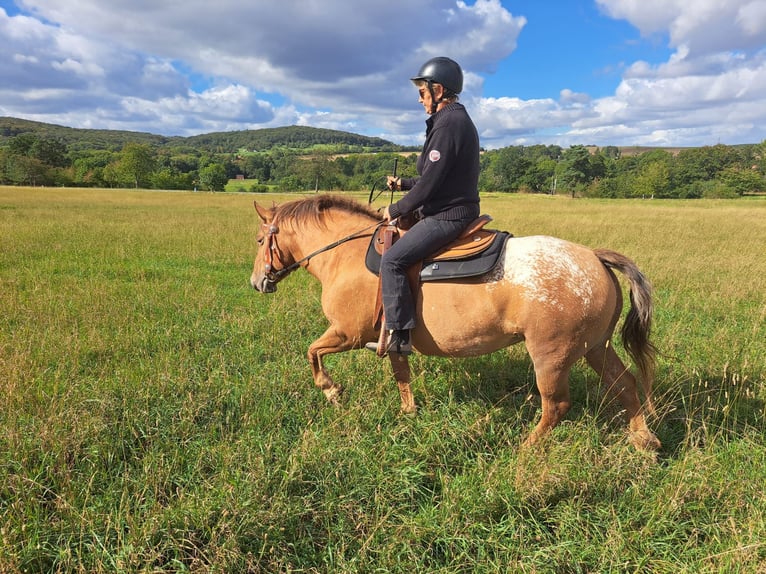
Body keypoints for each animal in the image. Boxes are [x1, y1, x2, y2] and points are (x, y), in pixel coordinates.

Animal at [249, 196, 664, 452]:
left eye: (258, 240)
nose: (256, 282)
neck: (345, 256)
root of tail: (594, 257)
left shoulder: (346, 334)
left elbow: (313, 353)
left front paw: (332, 391)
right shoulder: (393, 337)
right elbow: (401, 374)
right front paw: (409, 413)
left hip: (551, 355)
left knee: (557, 405)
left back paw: (527, 448)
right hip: (596, 348)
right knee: (625, 385)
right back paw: (643, 441)